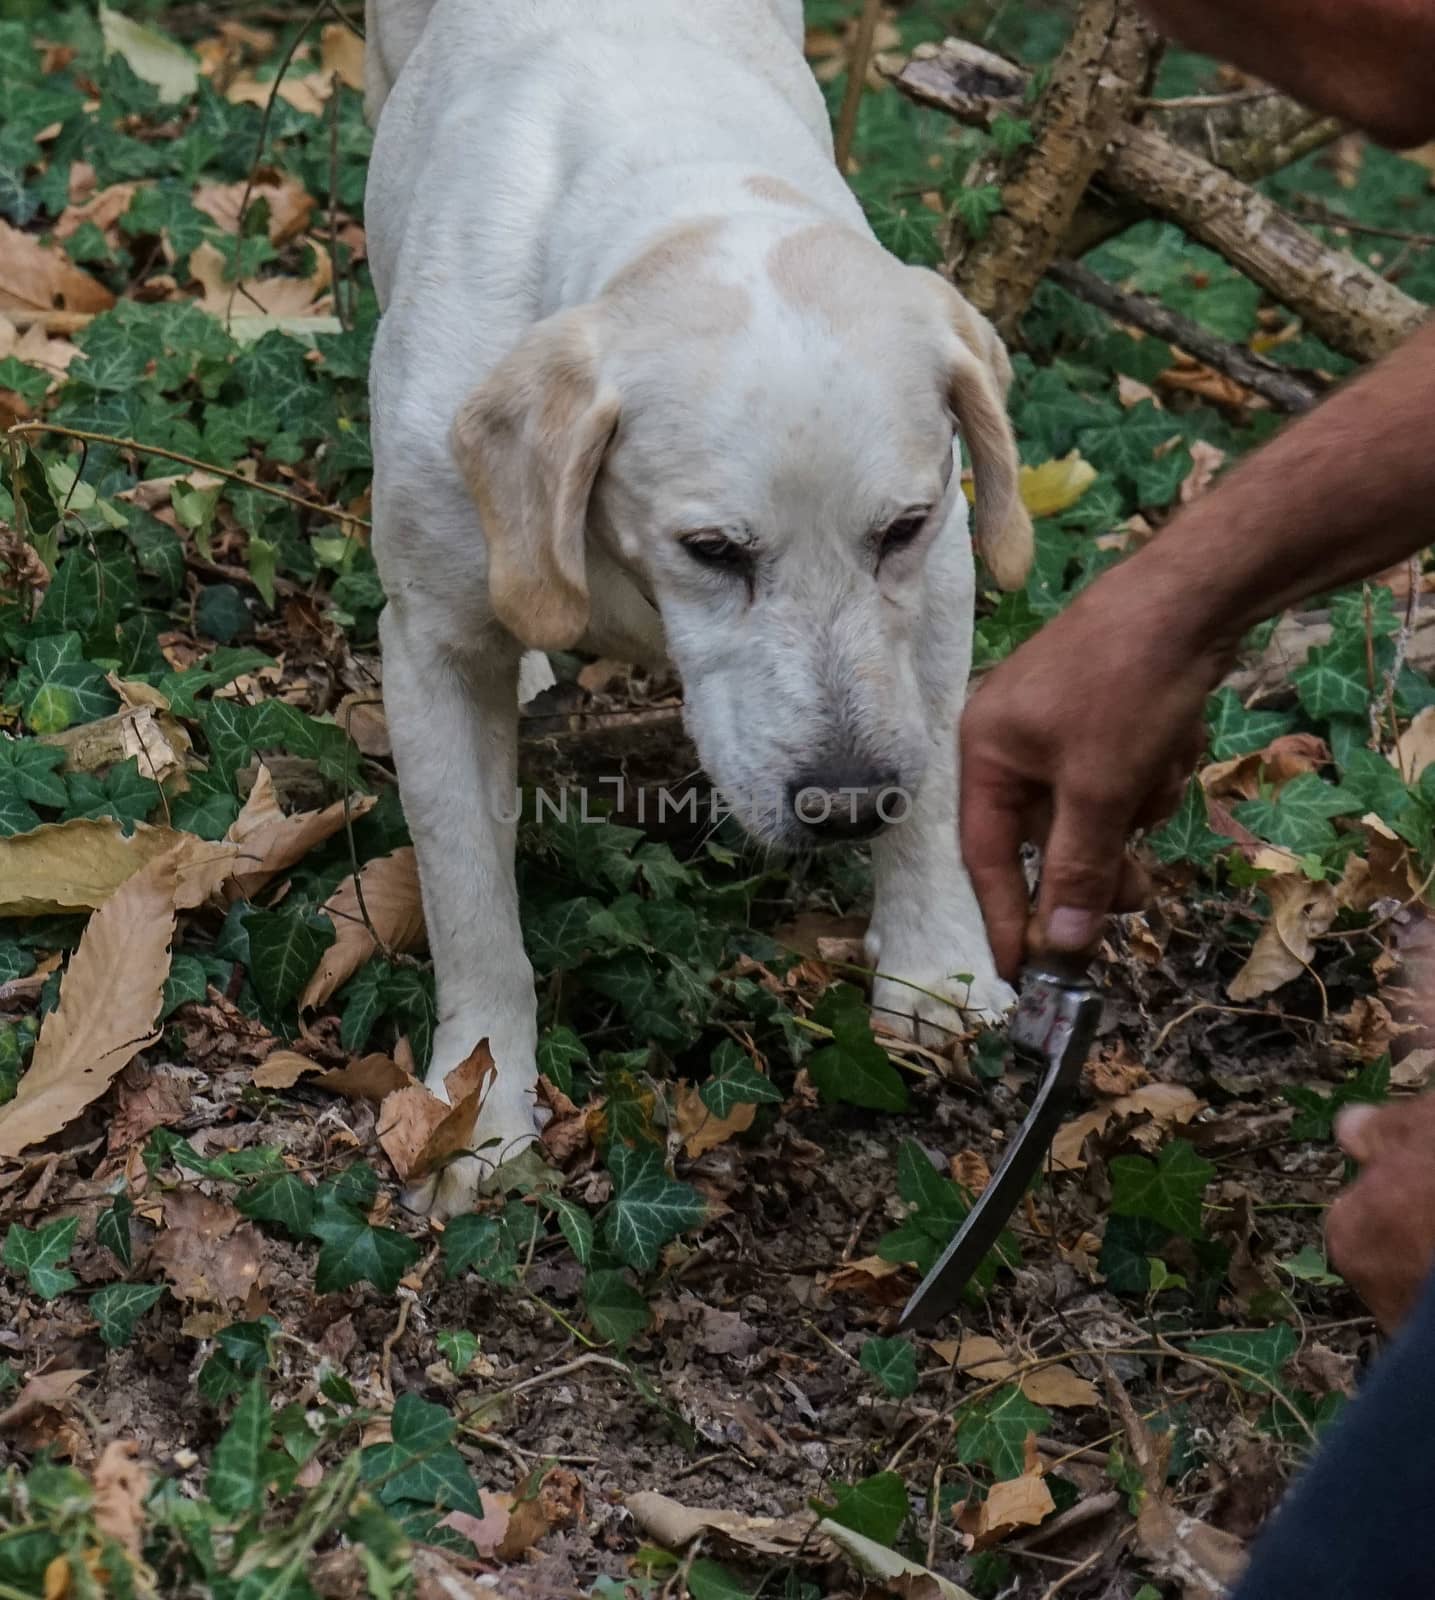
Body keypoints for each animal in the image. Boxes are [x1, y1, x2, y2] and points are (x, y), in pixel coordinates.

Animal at [358, 0, 1030, 1209]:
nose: (844, 806)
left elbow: (938, 789)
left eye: (899, 529)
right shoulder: (429, 647)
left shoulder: (944, 578)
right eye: (711, 550)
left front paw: (935, 967)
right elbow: (471, 908)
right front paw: (477, 1118)